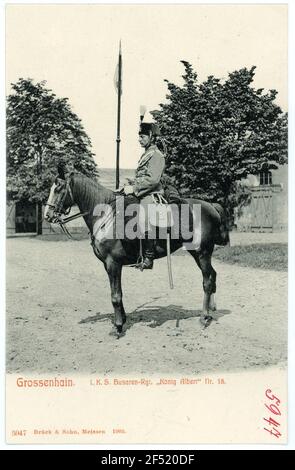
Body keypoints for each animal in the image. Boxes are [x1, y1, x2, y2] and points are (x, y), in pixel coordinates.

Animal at [44, 169, 229, 334]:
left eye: (58, 189)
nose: (47, 215)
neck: (106, 216)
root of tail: (211, 206)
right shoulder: (109, 265)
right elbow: (118, 292)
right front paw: (122, 319)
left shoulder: (113, 263)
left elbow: (115, 295)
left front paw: (118, 327)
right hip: (200, 254)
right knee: (212, 276)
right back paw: (211, 310)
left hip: (202, 252)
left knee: (207, 281)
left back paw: (203, 318)